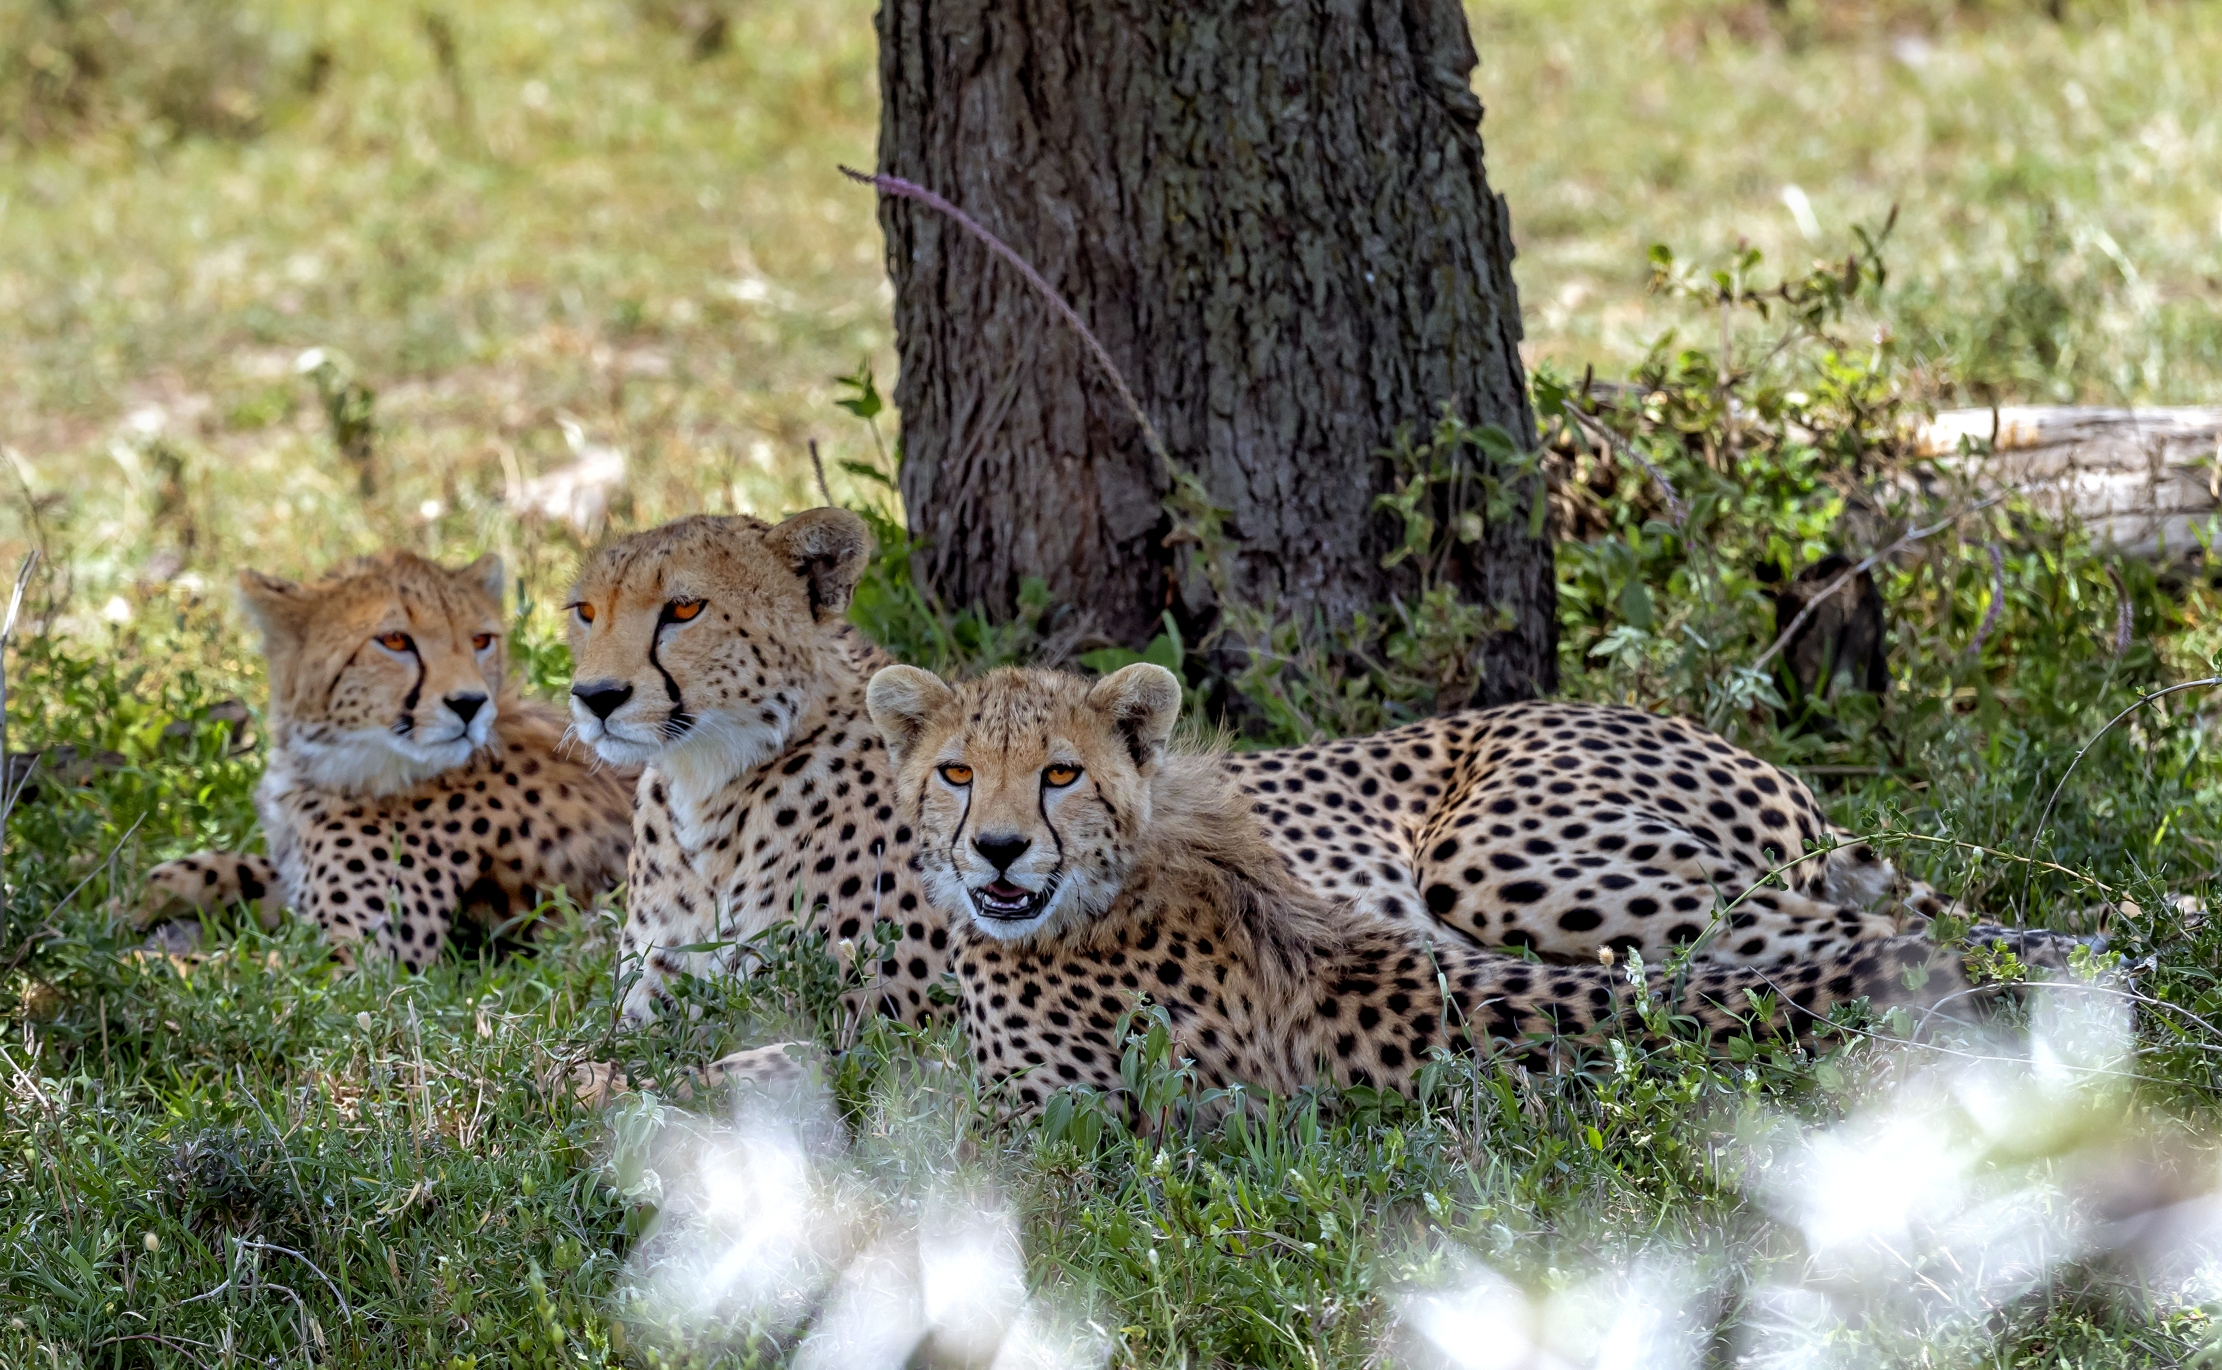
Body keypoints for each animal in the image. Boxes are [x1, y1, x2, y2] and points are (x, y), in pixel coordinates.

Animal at [139, 550, 634, 969]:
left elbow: (222, 972)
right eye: (395, 640)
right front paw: (133, 903)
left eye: (481, 640)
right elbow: (218, 865)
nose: (470, 704)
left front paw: (142, 963)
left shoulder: (362, 959)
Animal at [865, 661, 2083, 1110]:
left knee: (1834, 928)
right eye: (958, 772)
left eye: (1060, 773)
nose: (998, 851)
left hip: (1501, 864)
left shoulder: (1056, 1132)